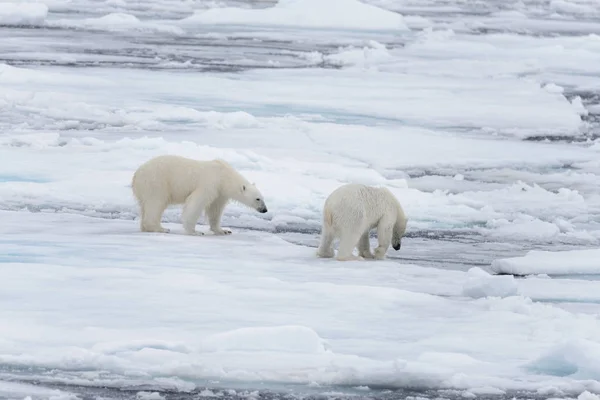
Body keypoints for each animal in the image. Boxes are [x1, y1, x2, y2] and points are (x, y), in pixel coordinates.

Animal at [131, 154, 268, 234]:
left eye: (263, 198)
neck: (224, 175)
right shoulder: (210, 183)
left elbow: (215, 209)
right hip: (156, 182)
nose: (265, 210)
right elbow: (197, 203)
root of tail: (136, 174)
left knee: (145, 206)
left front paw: (223, 230)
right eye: (258, 199)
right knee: (156, 203)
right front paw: (194, 231)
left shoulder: (220, 192)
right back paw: (160, 228)